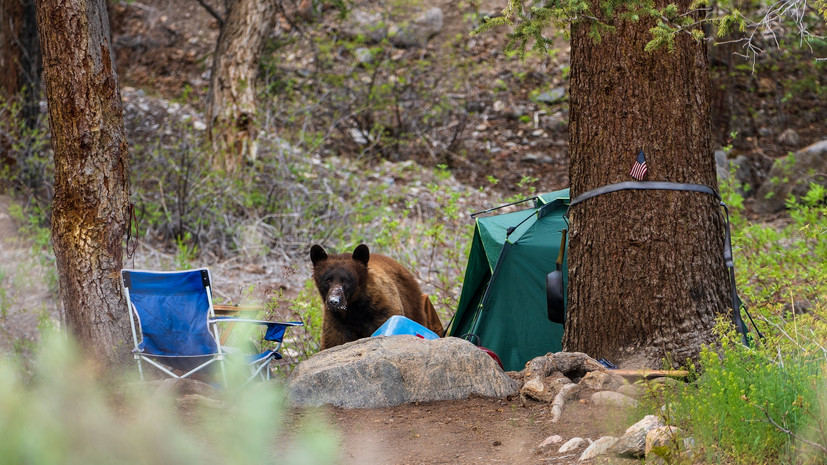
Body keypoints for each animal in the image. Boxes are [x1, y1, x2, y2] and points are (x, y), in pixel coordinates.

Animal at [310, 243, 444, 350]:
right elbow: (334, 341)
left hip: (412, 304)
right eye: (327, 280)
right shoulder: (336, 321)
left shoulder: (382, 310)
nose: (334, 301)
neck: (354, 309)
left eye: (347, 280)